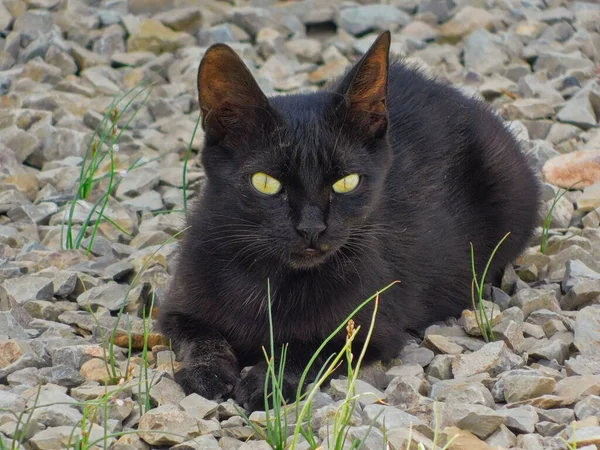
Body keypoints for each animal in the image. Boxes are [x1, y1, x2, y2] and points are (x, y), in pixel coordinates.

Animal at [158, 31, 540, 412]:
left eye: (347, 182)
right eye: (266, 183)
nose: (312, 227)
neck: (268, 279)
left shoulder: (370, 329)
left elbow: (309, 348)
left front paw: (267, 381)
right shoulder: (177, 308)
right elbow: (201, 337)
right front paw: (207, 371)